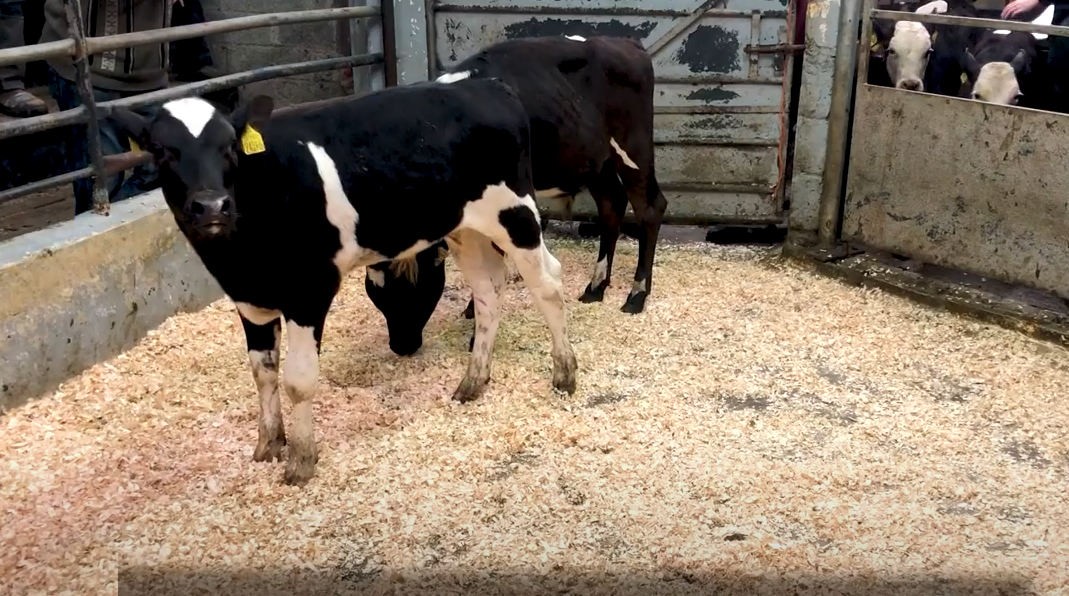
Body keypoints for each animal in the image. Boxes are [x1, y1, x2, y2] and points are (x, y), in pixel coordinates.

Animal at [107, 81, 579, 486]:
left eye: (229, 148)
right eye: (162, 151)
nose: (211, 205)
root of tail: (489, 86)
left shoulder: (308, 291)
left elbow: (298, 380)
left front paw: (301, 460)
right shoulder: (249, 299)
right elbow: (262, 373)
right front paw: (268, 444)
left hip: (514, 212)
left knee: (547, 282)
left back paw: (564, 372)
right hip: (465, 227)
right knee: (487, 290)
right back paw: (473, 381)